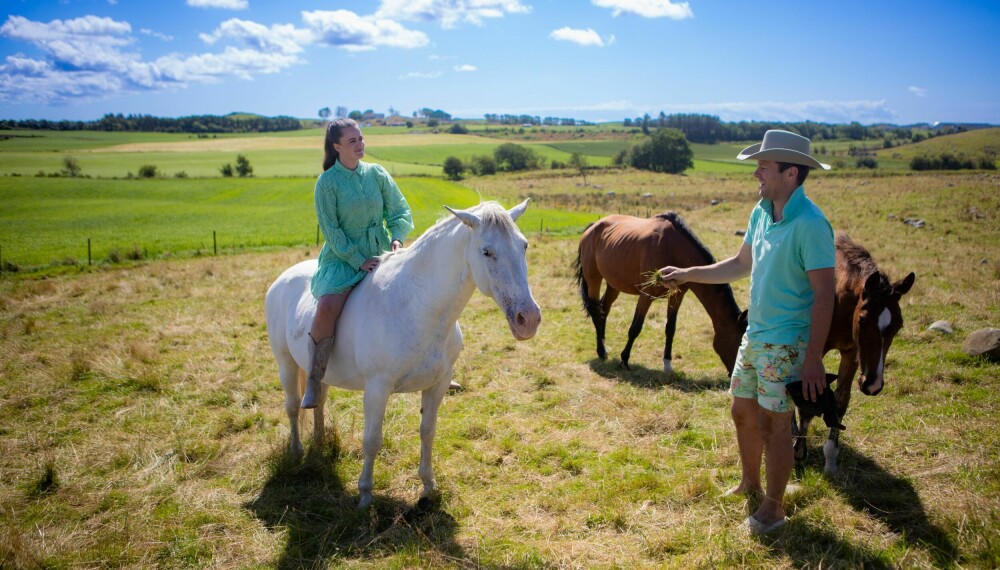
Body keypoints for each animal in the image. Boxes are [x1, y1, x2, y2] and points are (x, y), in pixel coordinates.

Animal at [264, 200, 540, 506]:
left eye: (524, 245)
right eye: (487, 252)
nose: (528, 319)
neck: (416, 305)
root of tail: (283, 279)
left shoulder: (438, 385)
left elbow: (428, 432)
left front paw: (428, 486)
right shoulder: (377, 388)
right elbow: (372, 439)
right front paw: (365, 495)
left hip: (316, 372)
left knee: (319, 399)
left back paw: (321, 441)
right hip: (285, 364)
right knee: (292, 406)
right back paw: (297, 451)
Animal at [576, 211, 748, 374]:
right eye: (740, 342)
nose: (735, 372)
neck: (673, 248)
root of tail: (593, 227)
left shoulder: (676, 296)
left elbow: (670, 329)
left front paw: (667, 363)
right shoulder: (646, 295)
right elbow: (635, 328)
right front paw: (624, 360)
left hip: (614, 284)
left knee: (603, 310)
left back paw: (604, 348)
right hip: (593, 279)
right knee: (596, 312)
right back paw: (601, 352)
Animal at [796, 233, 916, 472]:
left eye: (899, 325)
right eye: (862, 321)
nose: (873, 385)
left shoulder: (851, 354)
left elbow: (841, 400)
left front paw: (830, 459)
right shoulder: (813, 353)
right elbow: (806, 400)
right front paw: (798, 453)